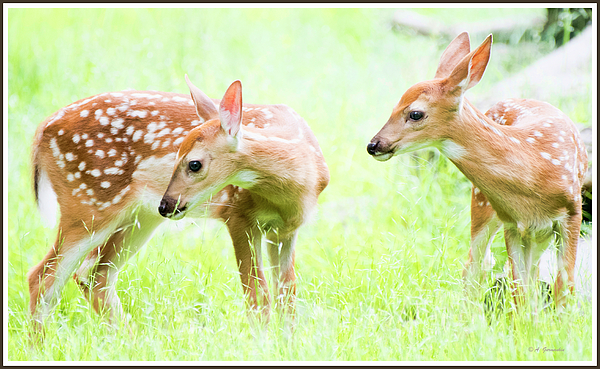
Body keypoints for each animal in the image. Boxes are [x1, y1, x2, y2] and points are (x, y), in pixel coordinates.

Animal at [27, 75, 328, 334]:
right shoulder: (238, 215)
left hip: (139, 217)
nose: (167, 204)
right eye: (176, 155)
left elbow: (286, 292)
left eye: (194, 164)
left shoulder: (286, 230)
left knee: (93, 274)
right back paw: (38, 348)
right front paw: (263, 342)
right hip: (87, 203)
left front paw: (287, 341)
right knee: (43, 277)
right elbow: (257, 292)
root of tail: (42, 129)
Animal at [368, 33, 588, 312]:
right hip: (482, 202)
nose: (374, 145)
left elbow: (564, 286)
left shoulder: (571, 213)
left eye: (415, 113)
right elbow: (519, 290)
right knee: (476, 266)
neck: (537, 173)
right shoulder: (511, 221)